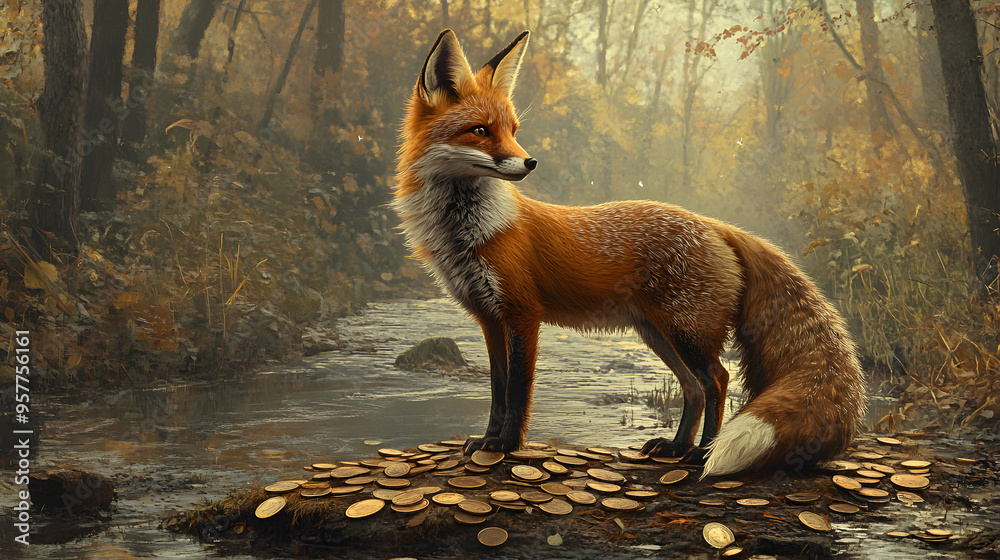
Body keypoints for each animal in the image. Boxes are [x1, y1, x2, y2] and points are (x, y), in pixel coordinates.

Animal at [393, 29, 867, 477]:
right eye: (480, 131)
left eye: (513, 131)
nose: (530, 163)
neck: (466, 235)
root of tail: (715, 224)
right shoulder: (490, 319)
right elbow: (496, 390)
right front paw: (488, 440)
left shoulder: (523, 314)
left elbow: (517, 391)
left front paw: (507, 445)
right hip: (658, 333)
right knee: (694, 388)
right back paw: (675, 446)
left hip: (686, 332)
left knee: (718, 379)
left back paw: (701, 453)